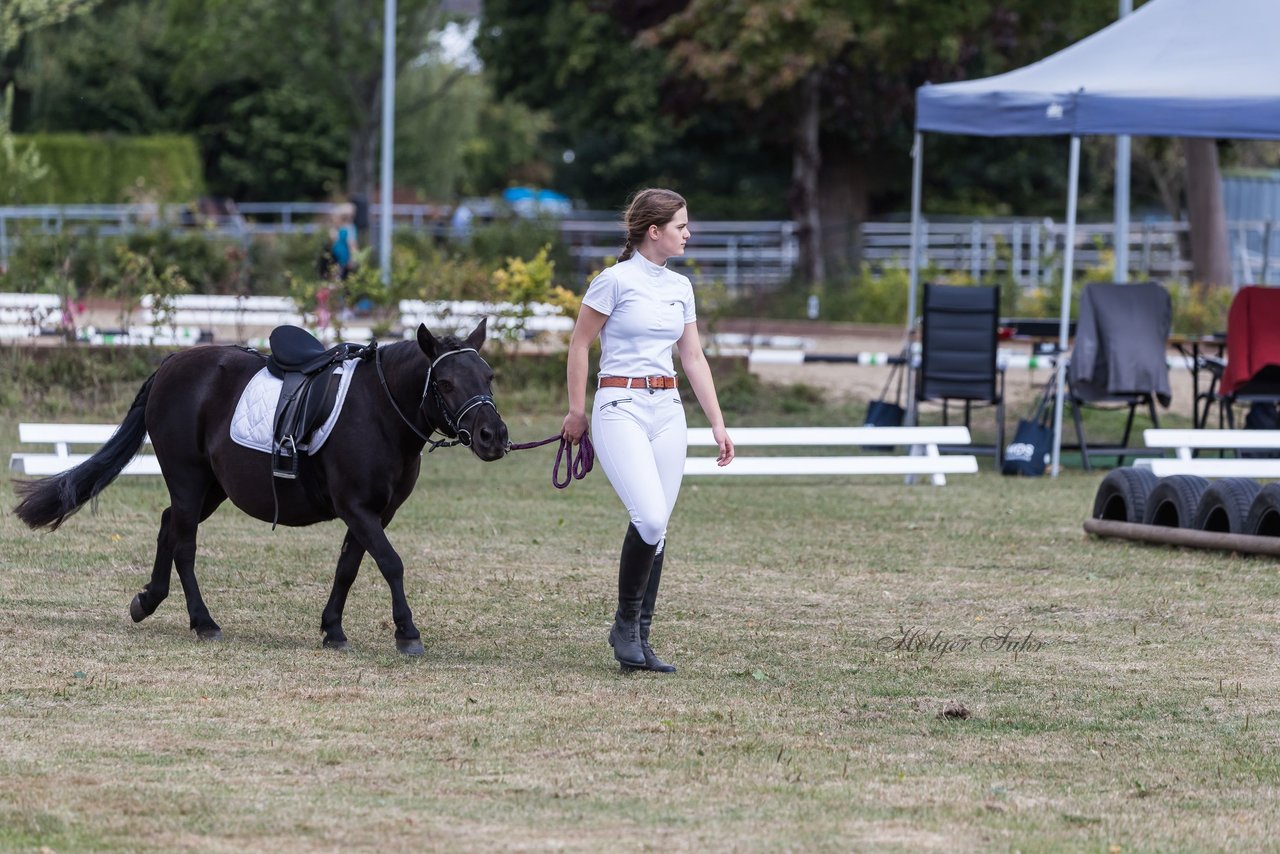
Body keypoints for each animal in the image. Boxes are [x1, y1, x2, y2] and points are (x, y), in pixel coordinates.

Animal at [15, 320, 506, 655]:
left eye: (489, 377)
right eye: (445, 382)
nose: (494, 436)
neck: (380, 410)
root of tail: (172, 363)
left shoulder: (374, 513)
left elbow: (348, 567)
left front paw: (333, 629)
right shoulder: (356, 507)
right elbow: (391, 563)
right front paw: (407, 633)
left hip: (211, 486)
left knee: (168, 526)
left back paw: (148, 600)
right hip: (188, 478)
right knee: (184, 544)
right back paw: (204, 622)